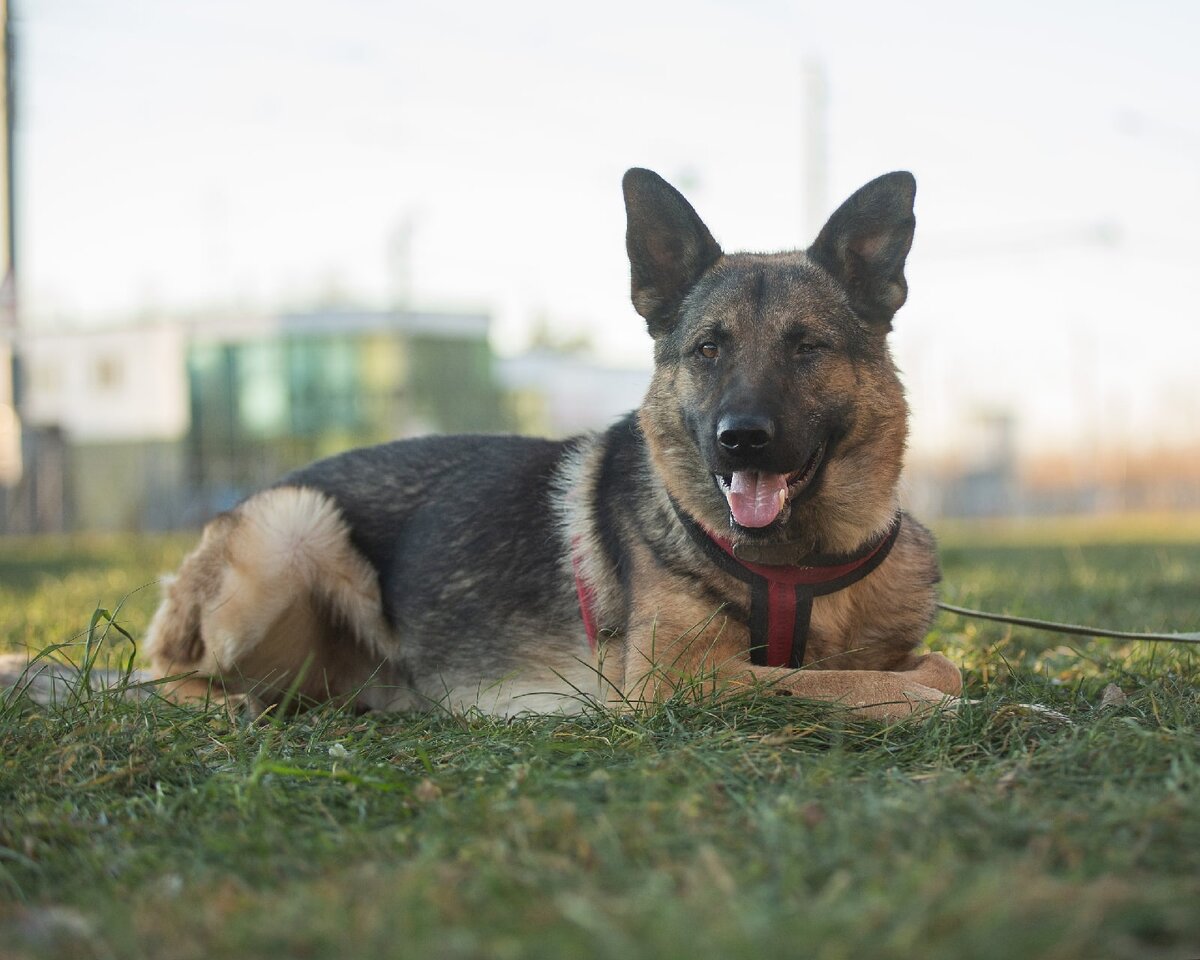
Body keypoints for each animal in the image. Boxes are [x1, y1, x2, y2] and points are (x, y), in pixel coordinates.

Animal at [129, 166, 964, 720]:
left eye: (807, 348)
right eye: (708, 350)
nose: (741, 441)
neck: (798, 565)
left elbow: (940, 666)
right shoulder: (675, 679)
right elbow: (847, 683)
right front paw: (916, 700)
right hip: (292, 528)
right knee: (158, 671)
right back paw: (223, 703)